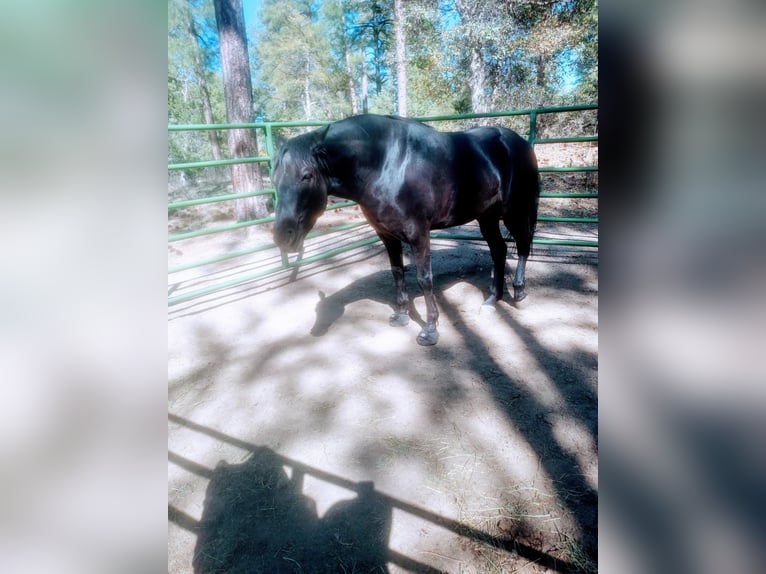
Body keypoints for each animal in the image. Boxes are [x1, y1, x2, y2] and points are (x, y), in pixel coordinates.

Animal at [272, 114, 540, 346]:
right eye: (274, 180)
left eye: (306, 175)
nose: (282, 236)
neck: (385, 164)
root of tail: (518, 142)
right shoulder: (387, 235)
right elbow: (397, 272)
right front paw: (401, 316)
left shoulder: (418, 234)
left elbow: (424, 279)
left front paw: (430, 330)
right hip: (487, 216)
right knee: (499, 250)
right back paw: (492, 301)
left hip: (515, 211)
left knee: (523, 245)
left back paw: (519, 293)